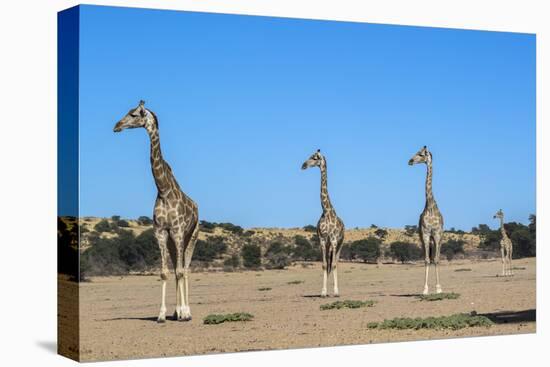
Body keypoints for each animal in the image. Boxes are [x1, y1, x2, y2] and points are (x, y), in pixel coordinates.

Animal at [113, 100, 199, 322]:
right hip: (172, 241)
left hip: (191, 236)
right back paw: (177, 312)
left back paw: (187, 312)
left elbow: (180, 271)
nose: (116, 126)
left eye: (134, 114)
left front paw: (185, 313)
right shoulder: (160, 232)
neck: (163, 189)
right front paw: (162, 314)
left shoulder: (177, 231)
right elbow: (165, 272)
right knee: (177, 268)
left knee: (185, 269)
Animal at [302, 151, 344, 298]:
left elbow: (334, 265)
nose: (303, 165)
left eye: (315, 158)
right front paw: (323, 292)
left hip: (339, 243)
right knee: (330, 264)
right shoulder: (322, 239)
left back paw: (336, 291)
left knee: (336, 262)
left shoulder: (334, 239)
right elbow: (325, 265)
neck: (326, 211)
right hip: (328, 244)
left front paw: (336, 292)